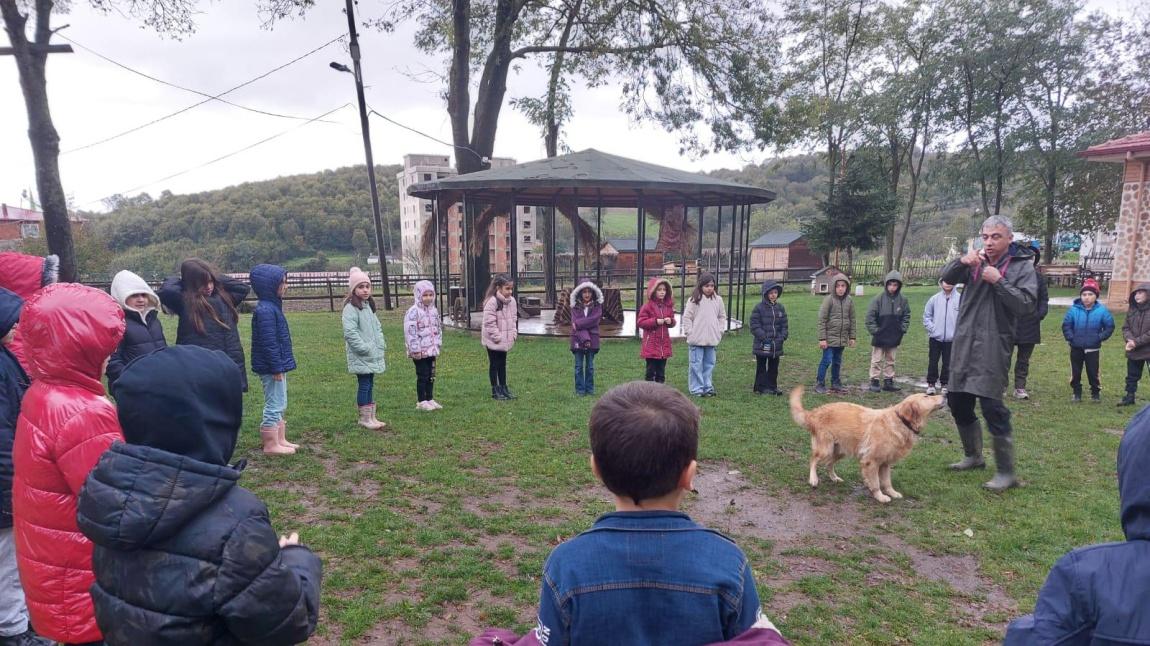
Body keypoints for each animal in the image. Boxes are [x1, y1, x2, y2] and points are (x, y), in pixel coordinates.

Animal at [791, 383, 943, 501]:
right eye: (926, 396)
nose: (944, 396)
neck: (901, 421)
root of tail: (814, 413)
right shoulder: (871, 461)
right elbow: (876, 483)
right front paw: (880, 497)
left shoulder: (885, 463)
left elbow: (887, 482)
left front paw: (892, 493)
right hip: (826, 449)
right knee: (813, 460)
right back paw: (813, 479)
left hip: (840, 450)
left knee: (829, 464)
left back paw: (834, 478)